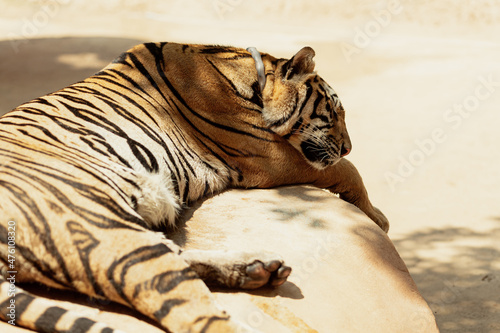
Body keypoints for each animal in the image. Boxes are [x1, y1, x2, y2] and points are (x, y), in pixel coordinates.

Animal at [0, 42, 388, 332]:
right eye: (334, 110)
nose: (348, 145)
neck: (253, 78)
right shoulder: (266, 155)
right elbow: (346, 170)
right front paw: (379, 218)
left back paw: (255, 268)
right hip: (95, 220)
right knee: (187, 309)